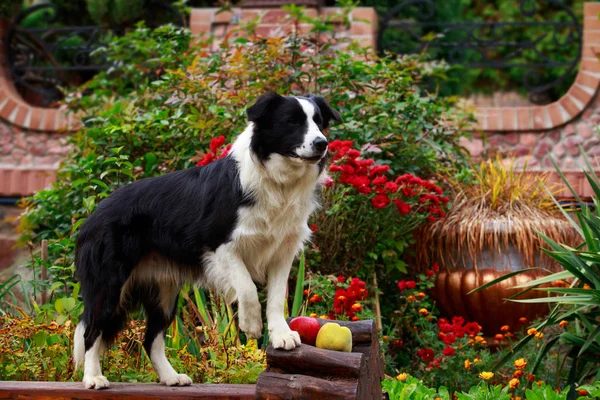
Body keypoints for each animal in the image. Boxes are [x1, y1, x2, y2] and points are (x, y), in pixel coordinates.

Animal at [72, 92, 340, 390]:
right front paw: (251, 326)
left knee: (150, 338)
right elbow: (247, 288)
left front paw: (281, 335)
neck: (276, 180)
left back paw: (171, 377)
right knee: (91, 331)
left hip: (164, 290)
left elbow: (276, 297)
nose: (322, 143)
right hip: (109, 283)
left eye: (319, 122)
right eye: (291, 121)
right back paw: (93, 378)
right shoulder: (218, 244)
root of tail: (91, 217)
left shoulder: (282, 250)